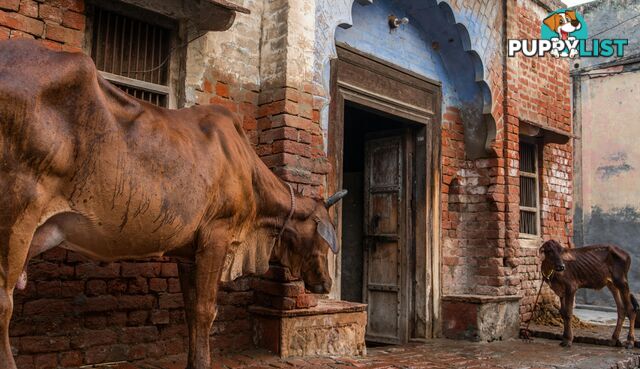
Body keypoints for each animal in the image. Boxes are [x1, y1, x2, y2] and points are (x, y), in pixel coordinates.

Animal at [0, 40, 344, 368]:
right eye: (323, 239)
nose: (326, 283)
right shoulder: (216, 236)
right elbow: (206, 310)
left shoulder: (188, 253)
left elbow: (191, 311)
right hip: (14, 213)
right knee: (4, 302)